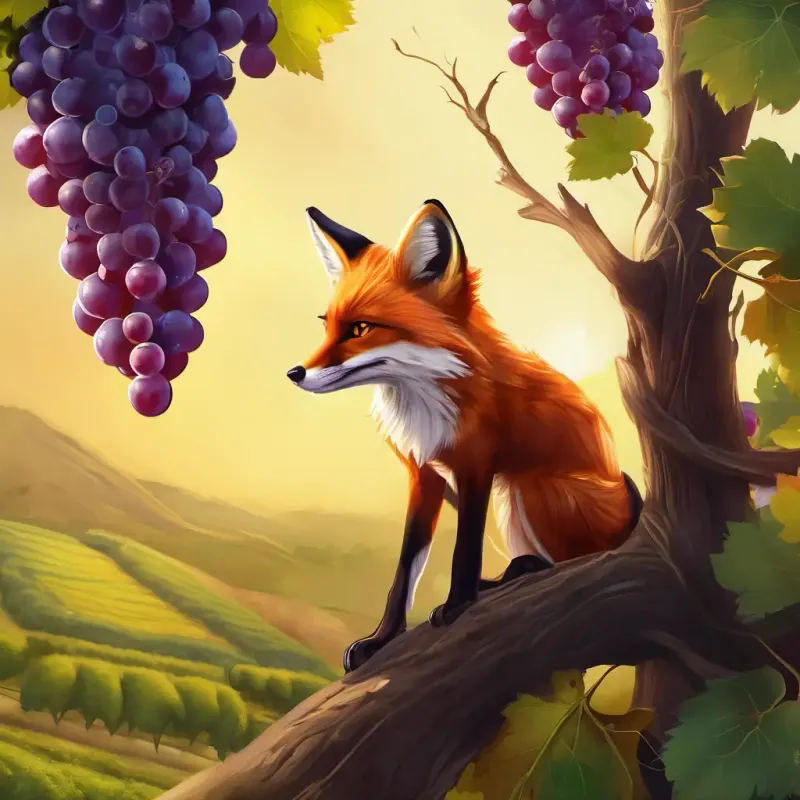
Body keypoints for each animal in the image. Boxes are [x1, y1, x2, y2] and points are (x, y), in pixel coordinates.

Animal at [288, 200, 643, 673]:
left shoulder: (476, 466)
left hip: (525, 488)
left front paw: (457, 606)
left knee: (571, 561)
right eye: (326, 325)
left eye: (360, 329)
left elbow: (464, 550)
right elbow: (406, 567)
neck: (424, 401)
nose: (294, 373)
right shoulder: (424, 475)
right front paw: (382, 639)